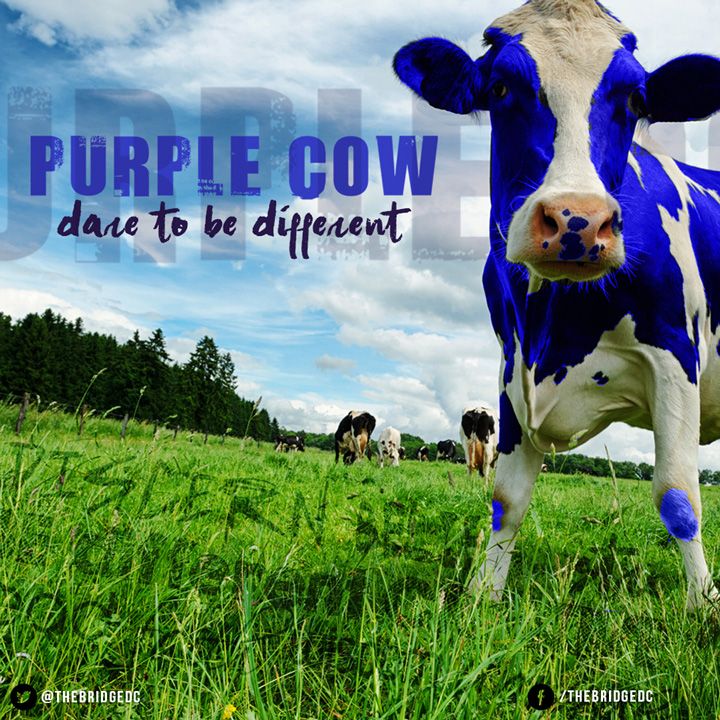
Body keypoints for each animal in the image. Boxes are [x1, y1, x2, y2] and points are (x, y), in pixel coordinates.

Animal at [394, 0, 720, 609]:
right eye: (500, 87)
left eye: (636, 99)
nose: (578, 220)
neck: (553, 322)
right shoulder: (511, 366)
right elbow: (507, 497)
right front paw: (483, 597)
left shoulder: (675, 354)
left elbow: (678, 495)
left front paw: (702, 605)